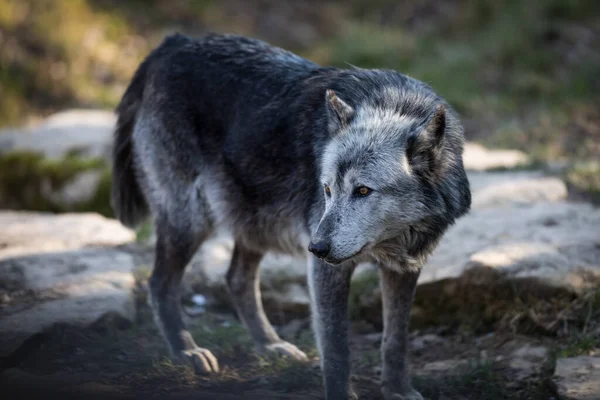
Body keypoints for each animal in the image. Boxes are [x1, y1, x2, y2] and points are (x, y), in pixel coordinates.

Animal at [110, 32, 472, 400]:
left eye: (363, 191)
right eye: (326, 189)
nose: (317, 248)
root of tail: (172, 42)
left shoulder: (405, 267)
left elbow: (395, 340)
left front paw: (399, 391)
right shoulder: (327, 271)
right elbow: (336, 348)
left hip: (252, 222)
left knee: (236, 279)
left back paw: (271, 346)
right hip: (191, 220)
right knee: (160, 283)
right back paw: (187, 351)